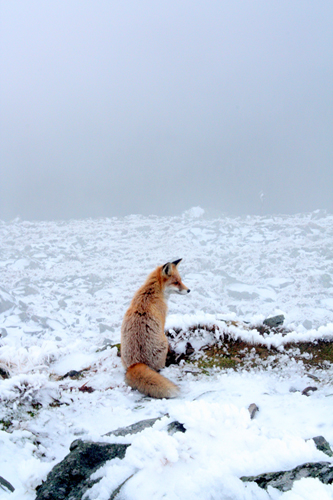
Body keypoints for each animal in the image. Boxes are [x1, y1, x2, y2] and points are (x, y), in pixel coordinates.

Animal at [121, 262, 189, 398]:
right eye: (176, 282)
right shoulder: (162, 322)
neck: (151, 292)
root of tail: (135, 364)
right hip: (163, 344)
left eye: (180, 280)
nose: (189, 290)